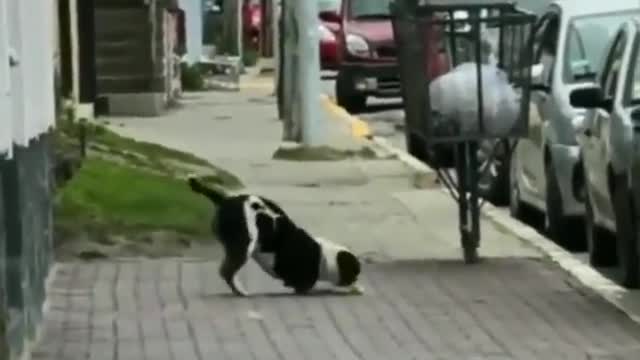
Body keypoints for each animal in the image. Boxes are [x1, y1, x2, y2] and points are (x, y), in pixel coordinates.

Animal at [188, 176, 362, 296]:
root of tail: (225, 200)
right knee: (227, 272)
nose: (356, 279)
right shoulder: (303, 285)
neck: (324, 257)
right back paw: (241, 292)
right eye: (354, 272)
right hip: (244, 244)